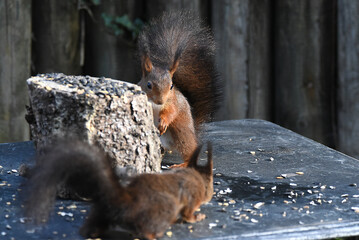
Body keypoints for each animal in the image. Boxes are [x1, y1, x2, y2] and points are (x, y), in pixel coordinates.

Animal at [23, 140, 214, 239]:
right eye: (210, 186)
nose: (210, 196)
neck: (194, 176)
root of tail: (124, 199)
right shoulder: (191, 196)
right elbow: (188, 214)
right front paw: (197, 217)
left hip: (100, 213)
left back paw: (91, 232)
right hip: (163, 208)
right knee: (146, 230)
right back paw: (155, 234)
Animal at [138, 11, 222, 168]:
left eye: (171, 86)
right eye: (149, 85)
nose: (161, 101)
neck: (155, 106)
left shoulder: (173, 102)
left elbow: (171, 112)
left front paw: (164, 121)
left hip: (181, 133)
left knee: (188, 150)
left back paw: (182, 164)